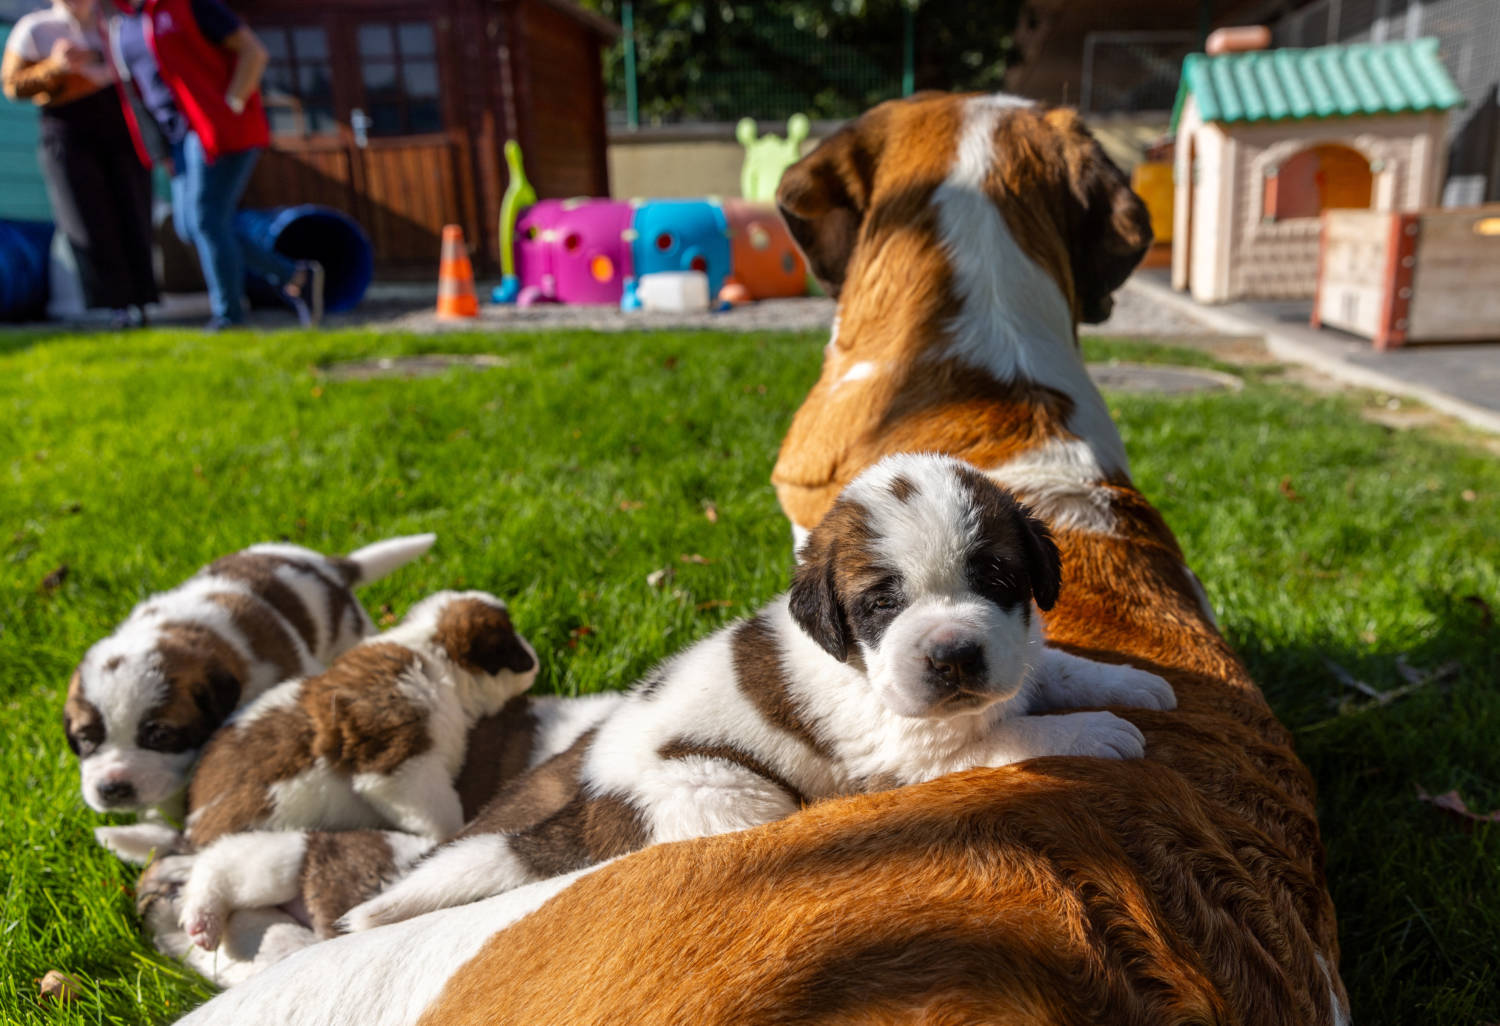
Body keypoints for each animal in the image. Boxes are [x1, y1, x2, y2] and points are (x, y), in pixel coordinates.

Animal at [171, 588, 537, 948]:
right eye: (511, 644)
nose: (535, 658)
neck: (431, 658)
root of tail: (190, 825)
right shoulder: (402, 765)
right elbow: (440, 815)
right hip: (266, 854)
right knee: (220, 864)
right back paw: (203, 919)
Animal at [340, 453, 1170, 936]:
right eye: (881, 605)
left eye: (996, 576)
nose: (953, 653)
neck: (862, 664)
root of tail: (595, 796)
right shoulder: (916, 748)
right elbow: (1008, 736)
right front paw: (1095, 730)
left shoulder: (1013, 655)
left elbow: (1054, 667)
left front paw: (1136, 683)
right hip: (728, 789)